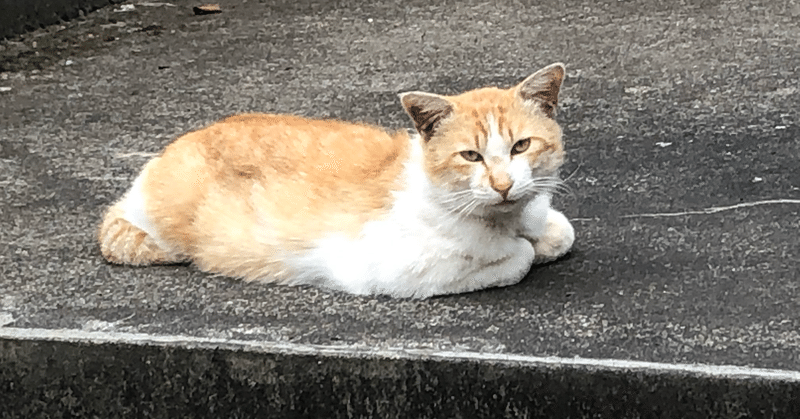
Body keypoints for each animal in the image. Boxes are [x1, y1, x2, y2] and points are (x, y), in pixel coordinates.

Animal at [98, 63, 576, 298]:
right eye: (471, 156)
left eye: (521, 147)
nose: (502, 185)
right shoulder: (392, 271)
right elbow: (518, 258)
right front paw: (521, 250)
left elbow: (561, 232)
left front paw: (542, 237)